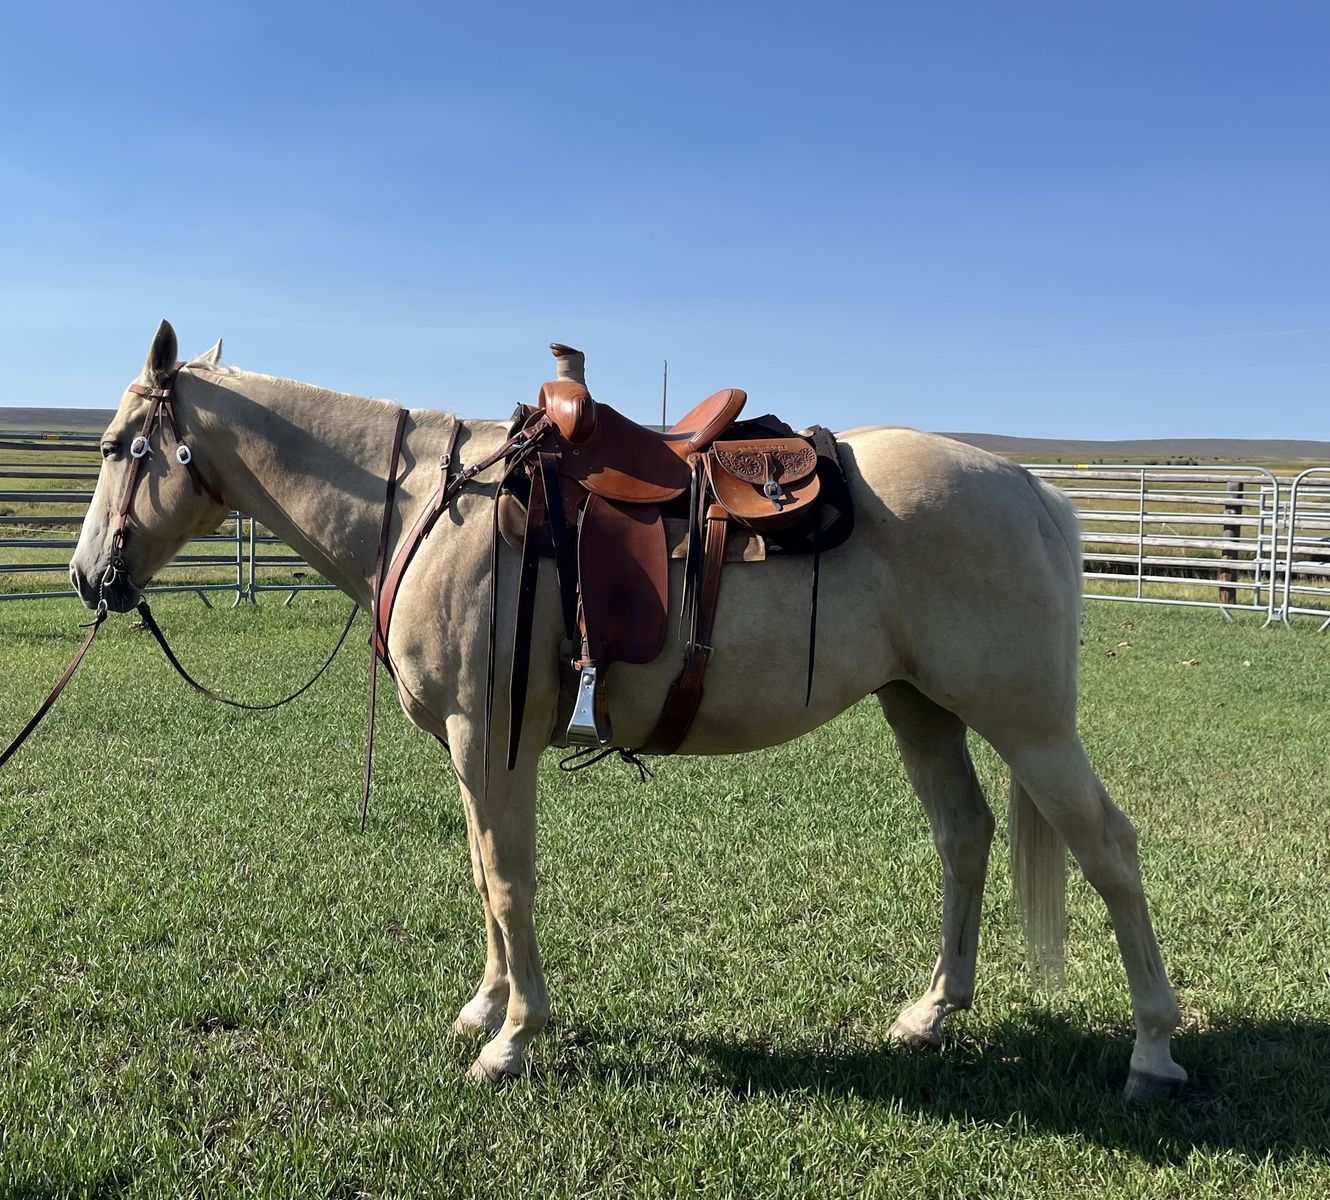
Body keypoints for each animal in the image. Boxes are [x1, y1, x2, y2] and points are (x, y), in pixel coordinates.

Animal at [68, 321, 1187, 1101]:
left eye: (123, 445)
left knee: (1110, 850)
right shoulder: (473, 751)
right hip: (920, 708)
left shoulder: (491, 739)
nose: (87, 578)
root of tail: (1032, 491)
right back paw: (930, 1016)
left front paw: (515, 1041)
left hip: (1029, 726)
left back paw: (1152, 1051)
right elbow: (483, 874)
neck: (434, 507)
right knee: (964, 836)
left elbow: (509, 881)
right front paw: (486, 1008)